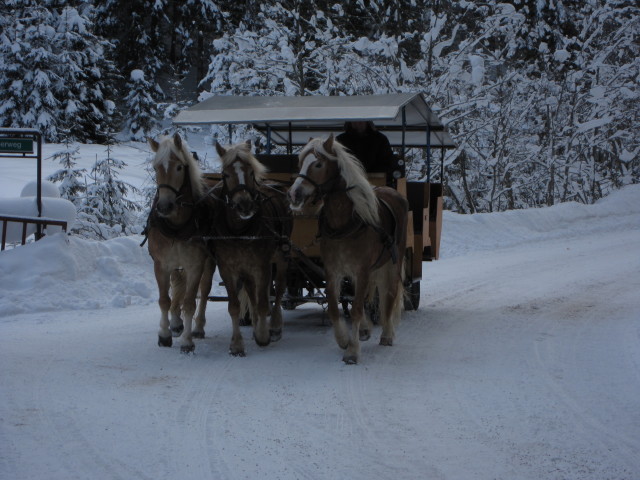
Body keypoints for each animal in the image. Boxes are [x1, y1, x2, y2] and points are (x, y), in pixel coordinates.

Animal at [146, 133, 216, 354]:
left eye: (179, 167)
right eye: (155, 167)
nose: (164, 206)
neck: (177, 227)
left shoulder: (195, 265)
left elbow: (190, 302)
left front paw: (186, 341)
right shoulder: (161, 264)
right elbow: (164, 300)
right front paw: (164, 334)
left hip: (209, 262)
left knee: (204, 291)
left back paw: (198, 327)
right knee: (177, 284)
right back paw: (176, 323)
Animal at [211, 140, 294, 356]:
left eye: (250, 172)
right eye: (225, 174)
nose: (245, 205)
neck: (240, 232)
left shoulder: (262, 265)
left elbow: (264, 301)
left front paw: (264, 335)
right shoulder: (227, 268)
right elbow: (235, 305)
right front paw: (237, 344)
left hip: (281, 255)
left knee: (279, 288)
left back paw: (274, 326)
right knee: (252, 291)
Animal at [288, 135, 408, 364]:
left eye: (318, 164)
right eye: (299, 163)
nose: (294, 194)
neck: (343, 224)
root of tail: (393, 192)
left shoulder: (362, 271)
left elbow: (357, 309)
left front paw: (352, 351)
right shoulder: (333, 270)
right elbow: (336, 308)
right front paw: (344, 339)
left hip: (392, 262)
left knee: (388, 294)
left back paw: (387, 333)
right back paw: (365, 329)